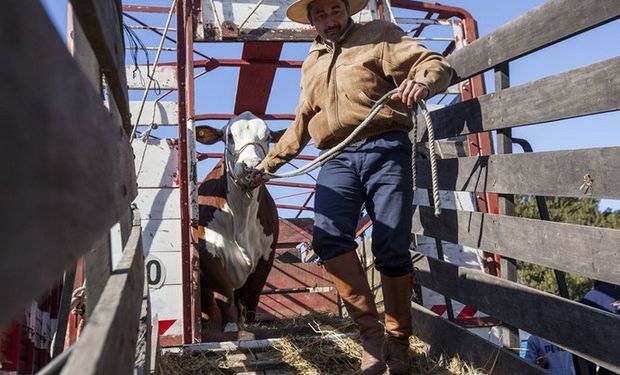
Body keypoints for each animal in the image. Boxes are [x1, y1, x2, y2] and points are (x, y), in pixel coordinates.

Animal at [193, 111, 284, 334]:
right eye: (229, 136)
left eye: (268, 137)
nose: (251, 166)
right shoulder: (208, 255)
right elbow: (224, 294)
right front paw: (230, 326)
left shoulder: (267, 256)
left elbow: (251, 295)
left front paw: (248, 324)